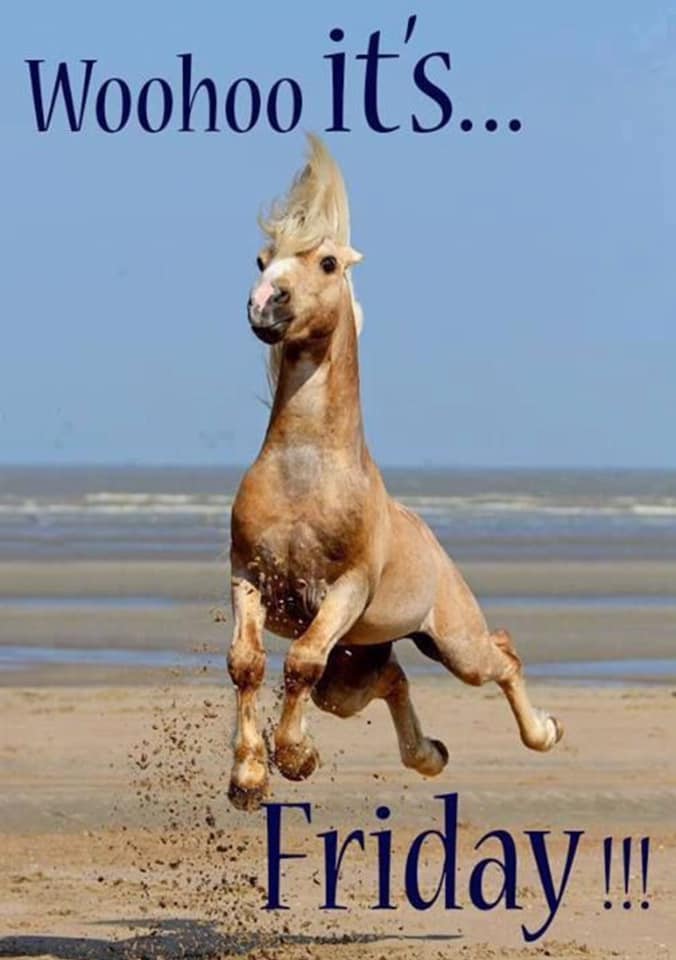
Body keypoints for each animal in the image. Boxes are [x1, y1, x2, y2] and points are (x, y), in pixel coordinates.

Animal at [227, 134, 563, 810]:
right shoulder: (247, 575)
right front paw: (250, 777)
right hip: (359, 660)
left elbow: (300, 661)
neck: (305, 475)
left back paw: (543, 733)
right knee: (393, 678)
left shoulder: (345, 590)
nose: (264, 305)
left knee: (502, 656)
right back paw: (429, 755)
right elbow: (247, 663)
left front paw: (293, 756)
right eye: (262, 258)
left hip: (454, 642)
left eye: (328, 262)